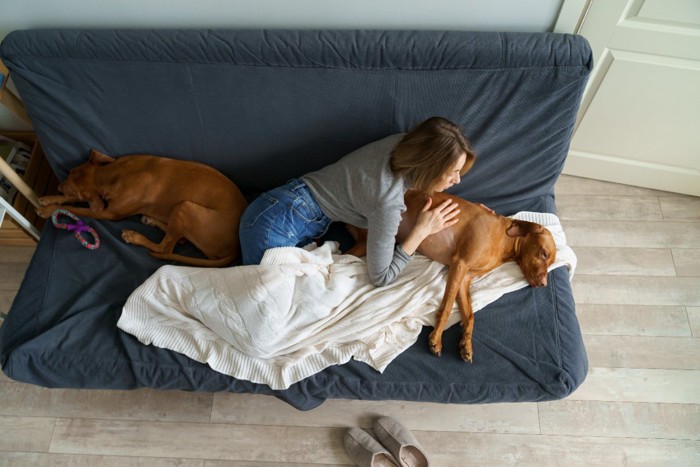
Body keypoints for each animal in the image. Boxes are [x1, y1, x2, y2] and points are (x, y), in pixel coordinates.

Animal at [37, 150, 249, 266]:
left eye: (69, 185)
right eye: (70, 171)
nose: (58, 186)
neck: (113, 175)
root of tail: (237, 247)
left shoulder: (109, 213)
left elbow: (80, 209)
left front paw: (48, 210)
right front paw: (48, 199)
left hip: (185, 207)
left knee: (165, 248)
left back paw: (135, 236)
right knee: (178, 240)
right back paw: (151, 220)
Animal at [348, 190, 556, 362]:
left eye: (551, 262)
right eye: (543, 253)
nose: (544, 284)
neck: (503, 240)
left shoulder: (464, 279)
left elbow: (470, 317)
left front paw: (466, 345)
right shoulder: (459, 264)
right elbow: (447, 307)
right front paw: (436, 338)